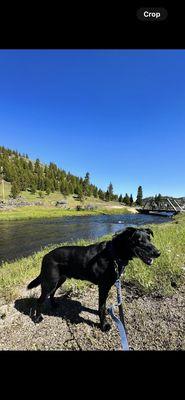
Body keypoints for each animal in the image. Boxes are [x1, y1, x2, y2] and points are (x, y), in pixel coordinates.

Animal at [26, 227, 160, 332]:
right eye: (139, 241)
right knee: (40, 300)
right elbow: (101, 307)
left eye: (150, 239)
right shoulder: (103, 287)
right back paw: (37, 318)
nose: (158, 253)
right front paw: (104, 325)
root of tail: (45, 256)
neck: (113, 253)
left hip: (59, 280)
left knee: (52, 293)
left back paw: (54, 305)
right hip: (50, 282)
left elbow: (102, 305)